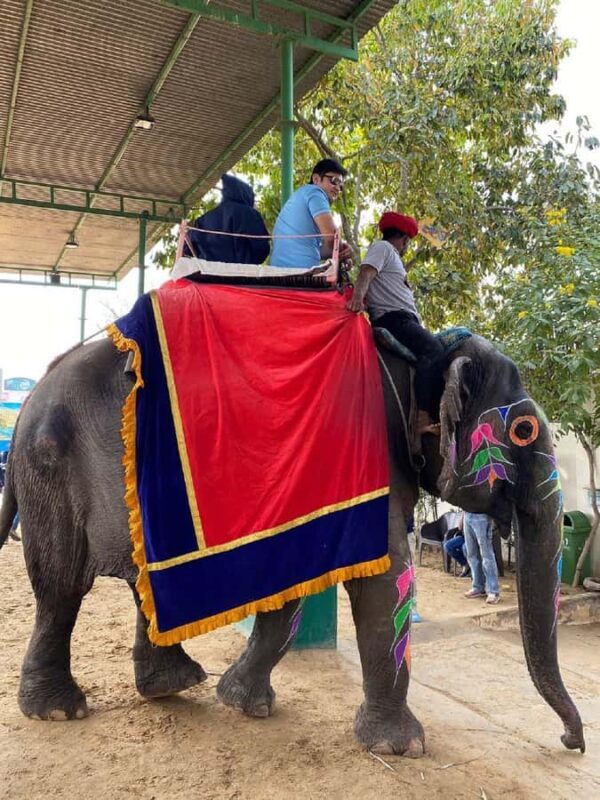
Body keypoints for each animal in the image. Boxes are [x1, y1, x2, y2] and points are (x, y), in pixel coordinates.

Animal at [0, 330, 585, 756]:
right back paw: (60, 711)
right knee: (60, 589)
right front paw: (401, 749)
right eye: (525, 430)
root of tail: (32, 392)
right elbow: (384, 577)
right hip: (51, 468)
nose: (569, 742)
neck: (418, 360)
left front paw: (243, 704)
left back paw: (173, 686)